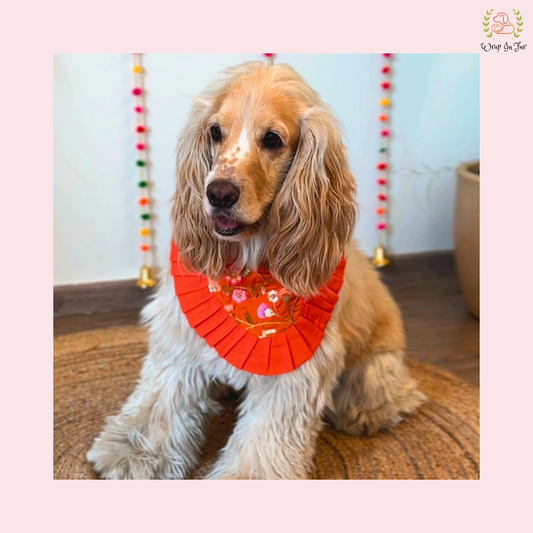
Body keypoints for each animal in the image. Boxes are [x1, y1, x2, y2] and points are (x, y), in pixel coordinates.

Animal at [89, 61, 426, 478]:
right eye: (215, 131)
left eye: (273, 140)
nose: (218, 193)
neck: (246, 274)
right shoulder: (180, 334)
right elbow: (162, 398)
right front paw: (135, 452)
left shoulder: (293, 372)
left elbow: (265, 440)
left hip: (376, 365)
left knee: (391, 392)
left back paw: (367, 413)